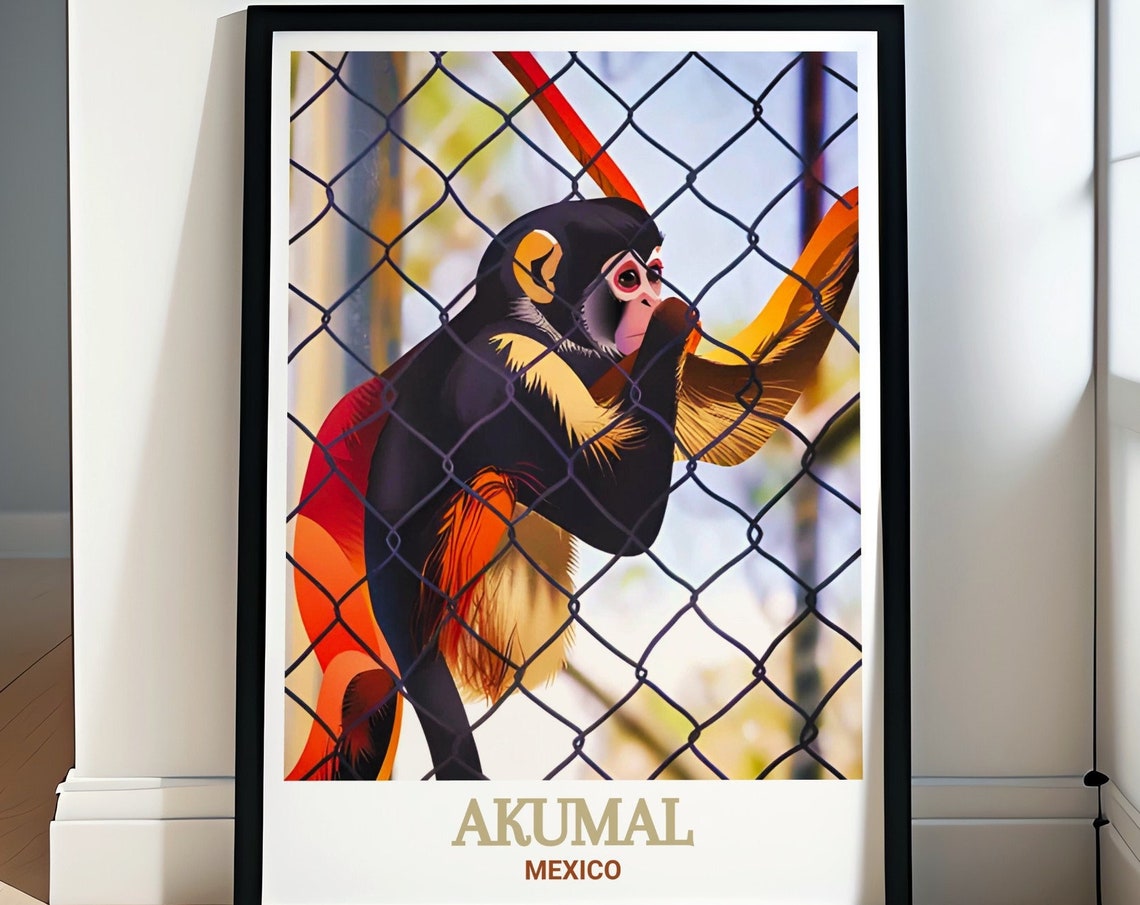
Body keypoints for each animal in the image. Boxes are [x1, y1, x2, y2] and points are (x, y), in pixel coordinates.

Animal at [286, 189, 859, 782]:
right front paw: (673, 326)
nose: (654, 300)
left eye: (653, 275)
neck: (520, 318)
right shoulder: (509, 370)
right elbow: (623, 523)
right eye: (629, 280)